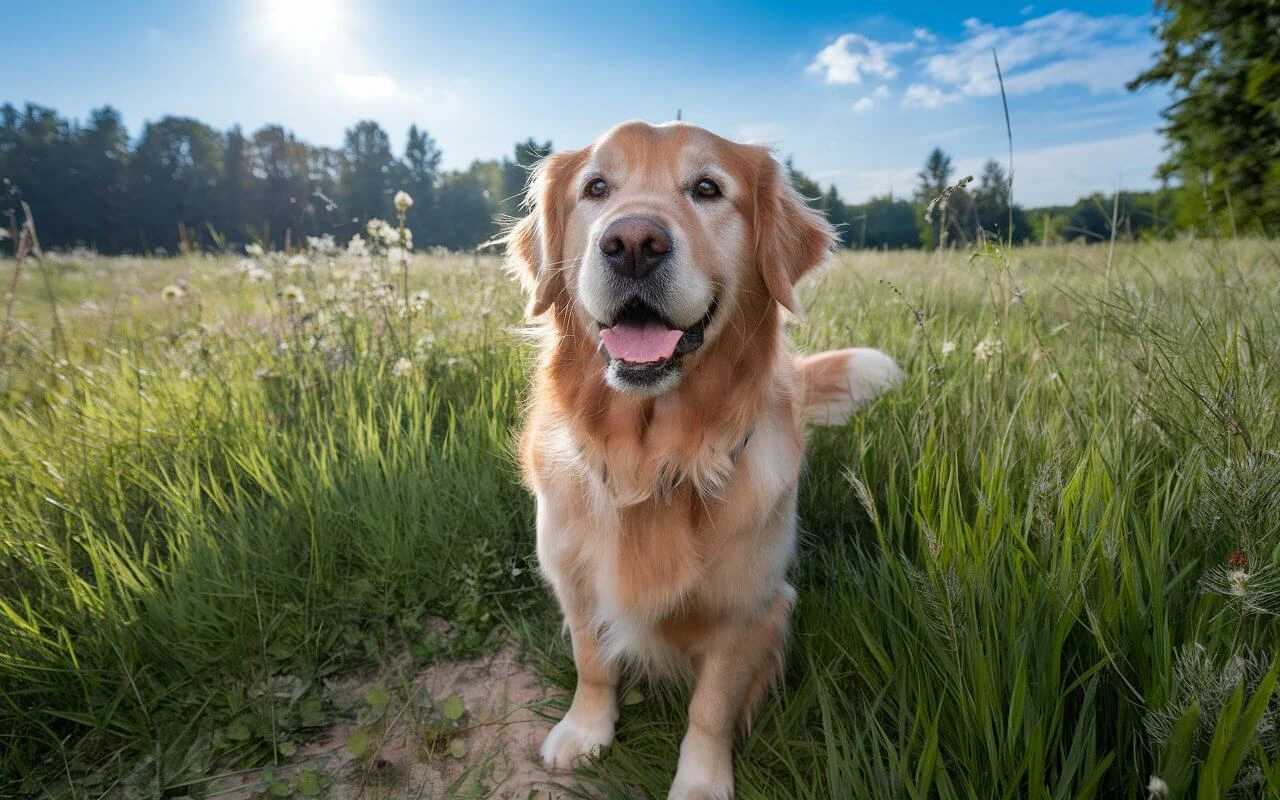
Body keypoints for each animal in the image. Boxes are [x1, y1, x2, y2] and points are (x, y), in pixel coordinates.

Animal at [504, 120, 906, 798]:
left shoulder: (748, 610)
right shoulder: (574, 577)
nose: (632, 244)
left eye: (707, 189)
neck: (653, 461)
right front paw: (585, 731)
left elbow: (711, 710)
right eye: (596, 188)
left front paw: (700, 781)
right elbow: (592, 661)